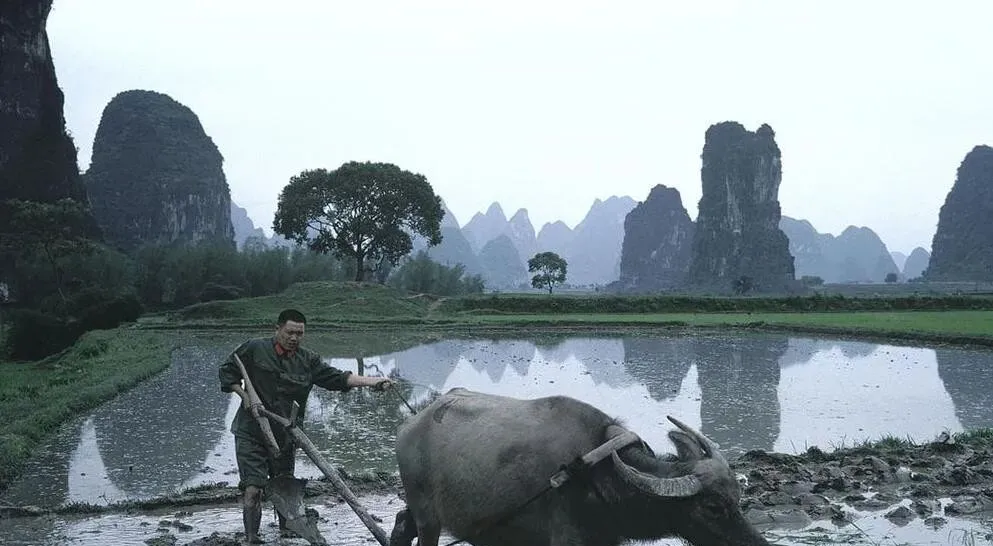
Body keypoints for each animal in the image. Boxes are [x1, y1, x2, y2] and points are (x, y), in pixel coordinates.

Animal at [389, 388, 770, 546]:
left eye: (737, 500)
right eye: (713, 506)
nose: (757, 544)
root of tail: (410, 424)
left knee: (401, 524)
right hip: (429, 517)